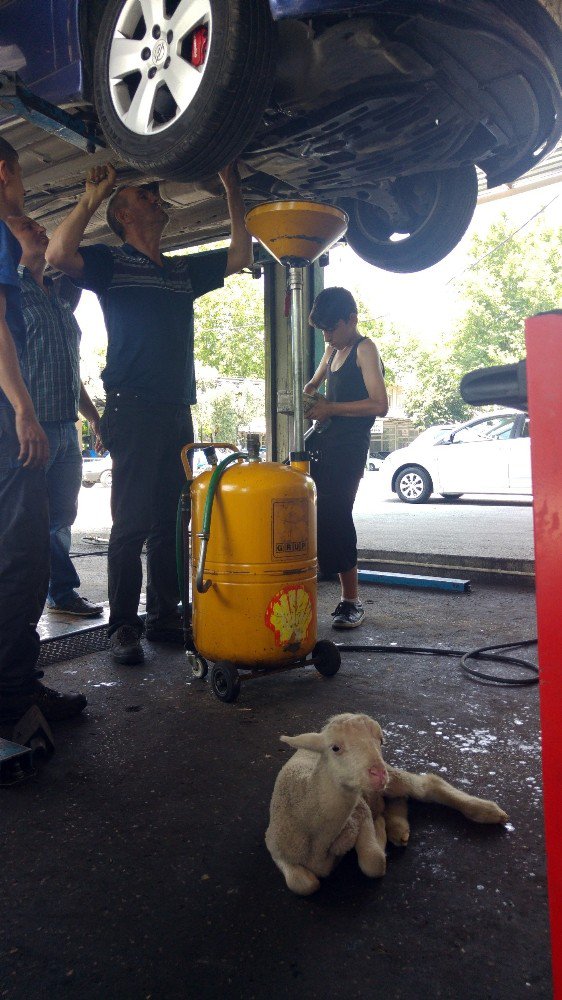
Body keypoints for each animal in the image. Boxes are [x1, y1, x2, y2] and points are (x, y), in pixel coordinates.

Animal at [264, 712, 506, 900]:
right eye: (335, 748)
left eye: (380, 741)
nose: (378, 773)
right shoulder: (274, 844)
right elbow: (305, 884)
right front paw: (383, 826)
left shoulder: (360, 813)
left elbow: (374, 862)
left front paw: (379, 832)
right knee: (399, 798)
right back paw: (398, 827)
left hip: (391, 777)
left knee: (426, 785)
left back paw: (487, 810)